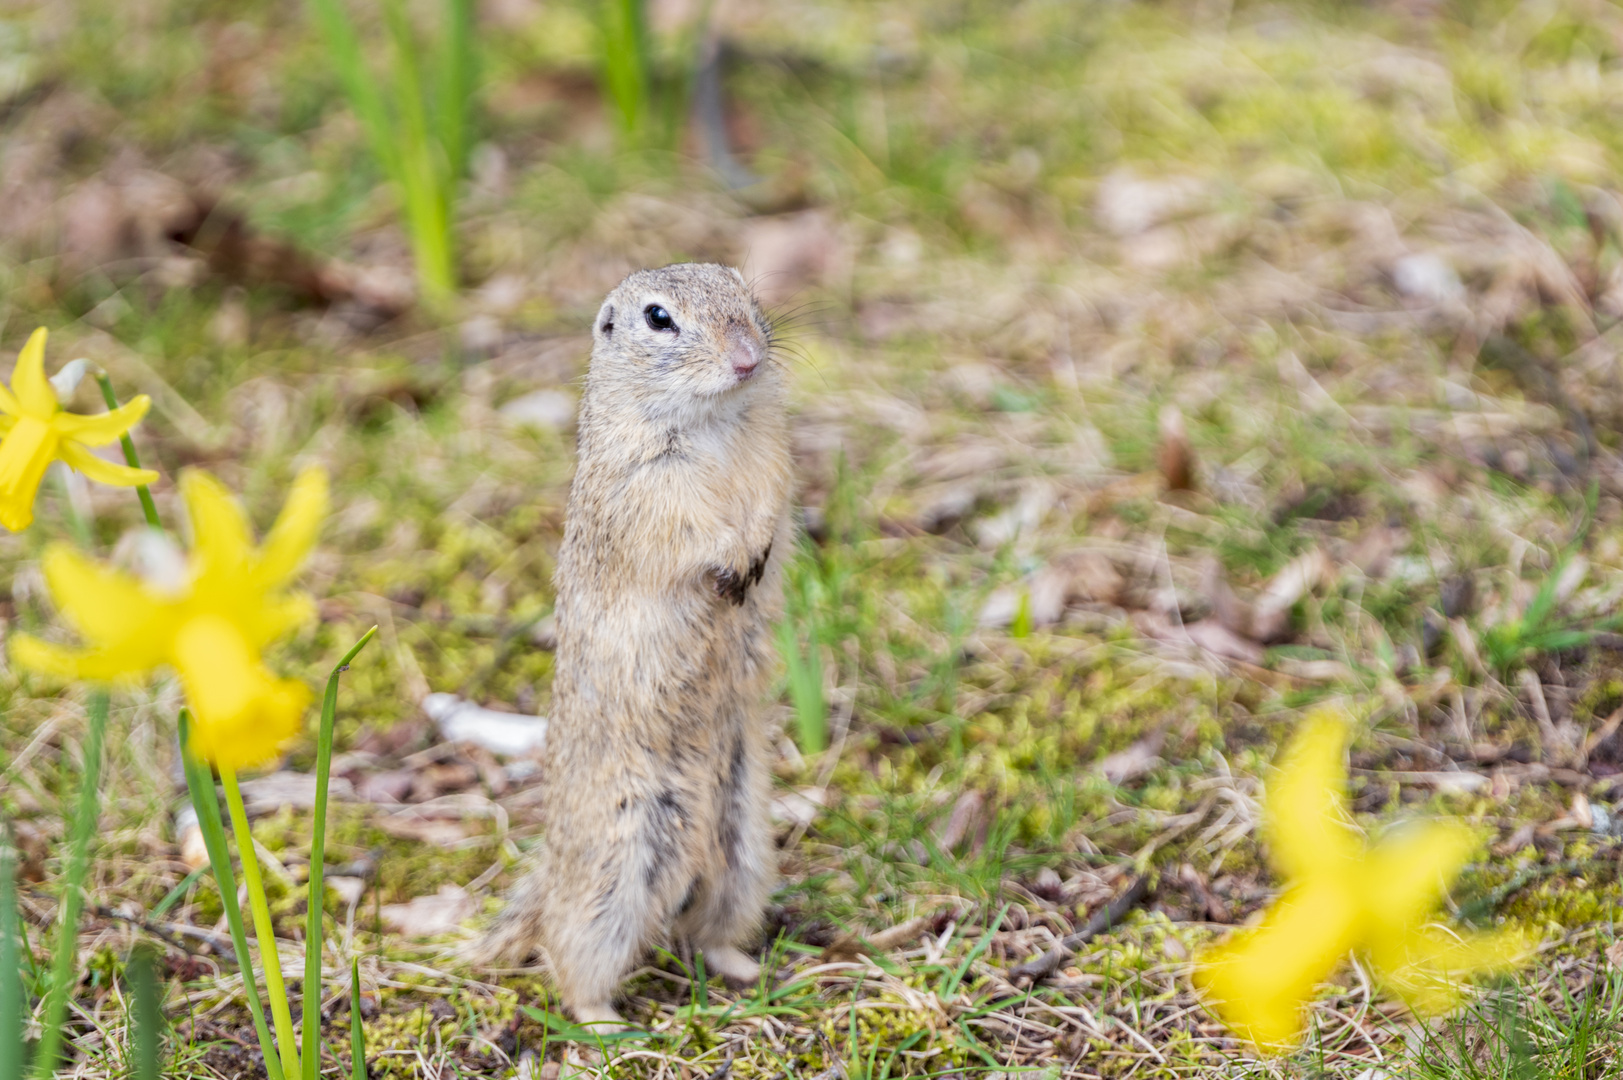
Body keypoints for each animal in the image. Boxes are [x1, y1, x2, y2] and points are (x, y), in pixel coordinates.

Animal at [473, 261, 795, 1026]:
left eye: (745, 291)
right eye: (658, 318)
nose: (749, 358)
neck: (713, 419)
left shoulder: (770, 449)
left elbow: (769, 497)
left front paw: (755, 552)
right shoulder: (649, 486)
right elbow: (690, 529)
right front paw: (732, 560)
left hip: (745, 852)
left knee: (707, 928)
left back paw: (744, 967)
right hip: (613, 872)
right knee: (568, 955)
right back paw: (607, 1024)